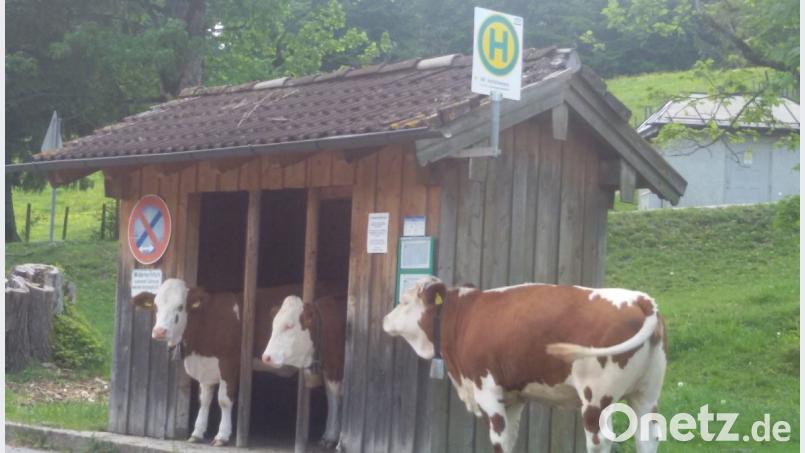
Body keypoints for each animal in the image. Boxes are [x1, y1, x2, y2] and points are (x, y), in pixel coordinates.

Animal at [130, 279, 303, 446]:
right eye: (155, 306)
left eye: (180, 306)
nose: (159, 331)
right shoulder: (205, 366)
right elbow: (204, 399)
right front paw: (197, 433)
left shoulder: (229, 362)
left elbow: (224, 400)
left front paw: (222, 436)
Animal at [261, 293, 347, 449]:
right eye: (273, 325)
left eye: (289, 326)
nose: (266, 357)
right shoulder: (329, 371)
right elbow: (332, 399)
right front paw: (329, 436)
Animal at [382, 276, 667, 453]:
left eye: (405, 301)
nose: (385, 319)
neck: (465, 317)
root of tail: (640, 299)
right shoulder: (513, 398)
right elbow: (511, 439)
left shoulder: (488, 391)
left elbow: (499, 440)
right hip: (647, 395)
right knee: (647, 439)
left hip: (596, 400)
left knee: (601, 441)